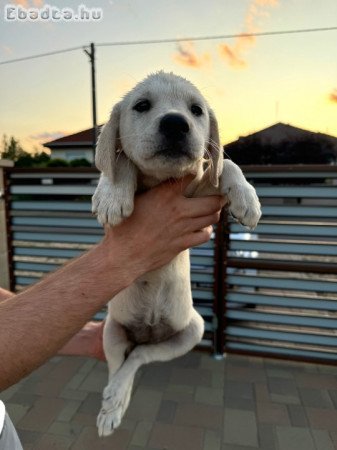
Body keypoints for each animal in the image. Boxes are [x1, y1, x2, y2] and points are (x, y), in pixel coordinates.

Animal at [92, 71, 262, 436]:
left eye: (196, 110)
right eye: (142, 105)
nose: (175, 123)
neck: (160, 180)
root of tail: (147, 332)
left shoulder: (202, 190)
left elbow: (224, 163)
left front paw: (247, 199)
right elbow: (120, 162)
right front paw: (111, 195)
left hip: (189, 333)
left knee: (138, 358)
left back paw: (116, 399)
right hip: (112, 329)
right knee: (118, 365)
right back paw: (112, 403)